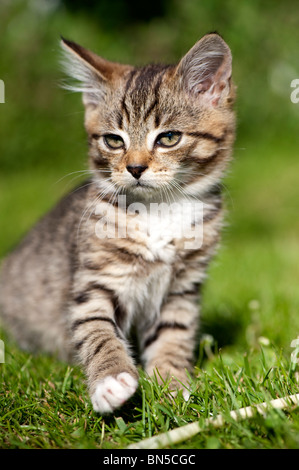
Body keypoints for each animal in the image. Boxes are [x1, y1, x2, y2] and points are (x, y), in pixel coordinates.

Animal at [0, 33, 236, 414]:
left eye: (169, 138)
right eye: (114, 140)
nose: (135, 167)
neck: (159, 211)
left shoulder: (182, 289)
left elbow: (174, 334)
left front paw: (172, 384)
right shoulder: (95, 282)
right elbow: (98, 331)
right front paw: (111, 380)